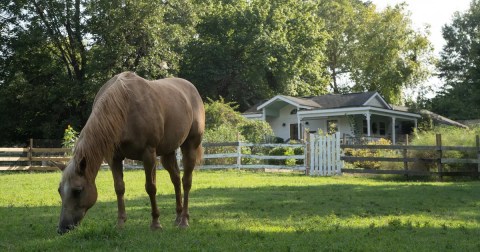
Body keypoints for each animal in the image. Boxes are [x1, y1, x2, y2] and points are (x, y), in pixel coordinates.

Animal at [55, 71, 204, 234]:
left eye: (77, 190)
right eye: (59, 191)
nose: (62, 228)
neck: (125, 108)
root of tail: (192, 89)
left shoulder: (148, 154)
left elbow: (150, 187)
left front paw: (155, 223)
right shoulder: (114, 157)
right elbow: (119, 187)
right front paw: (120, 222)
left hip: (190, 146)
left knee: (186, 181)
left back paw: (184, 221)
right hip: (168, 152)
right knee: (176, 179)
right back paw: (177, 218)